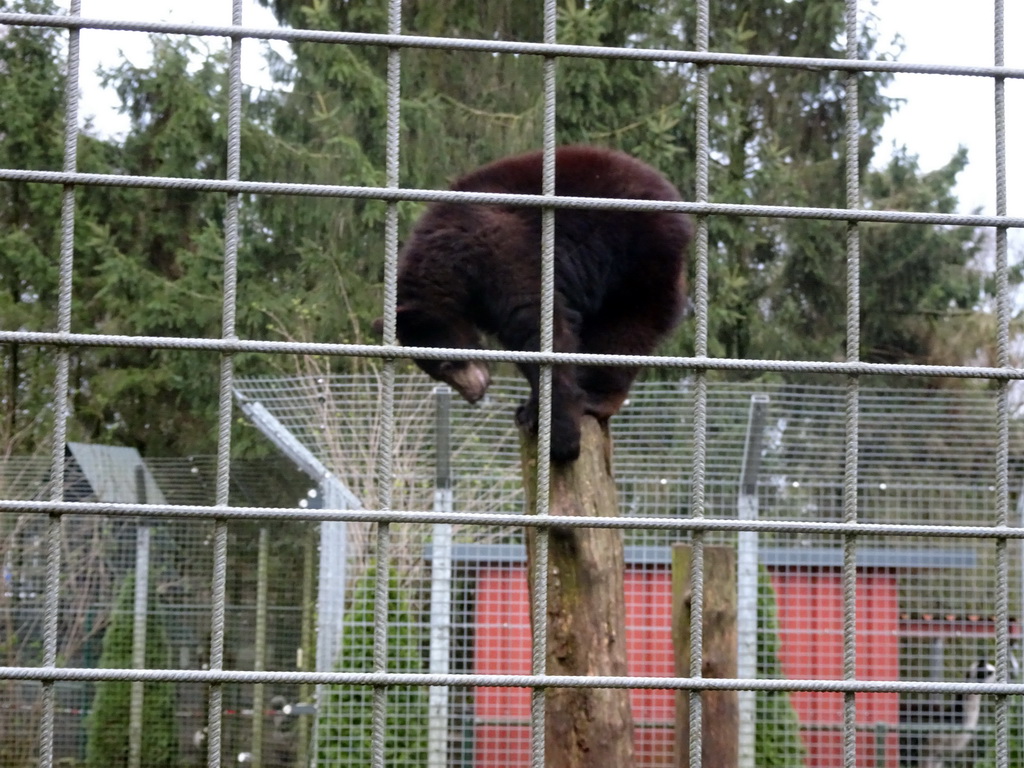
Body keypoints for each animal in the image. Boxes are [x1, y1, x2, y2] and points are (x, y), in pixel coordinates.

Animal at [387, 147, 692, 466]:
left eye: (445, 364)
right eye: (437, 371)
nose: (474, 394)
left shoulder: (504, 250)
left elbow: (538, 324)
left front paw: (561, 438)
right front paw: (528, 409)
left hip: (637, 255)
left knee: (625, 327)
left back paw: (597, 396)